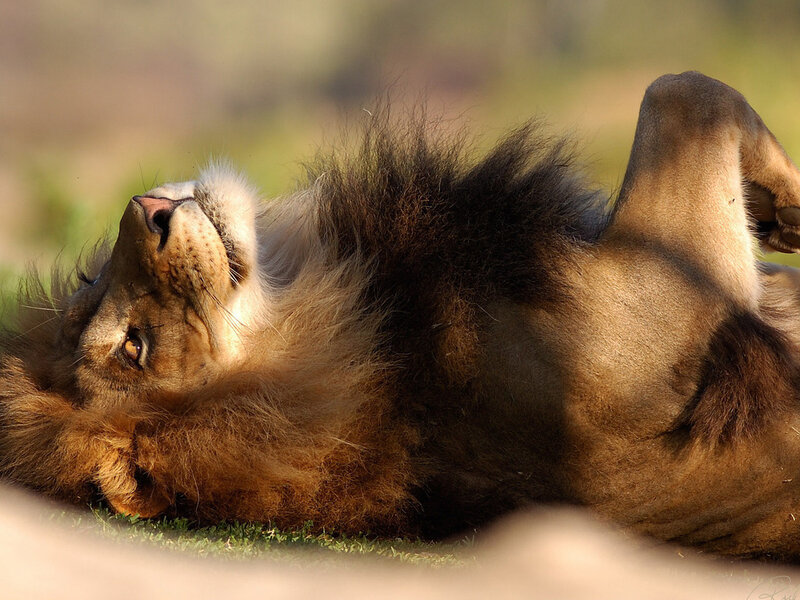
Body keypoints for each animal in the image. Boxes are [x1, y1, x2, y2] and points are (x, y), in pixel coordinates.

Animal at [3, 71, 800, 558]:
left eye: (90, 282)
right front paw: (788, 208)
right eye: (133, 348)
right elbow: (686, 95)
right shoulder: (670, 298)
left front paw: (777, 221)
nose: (148, 208)